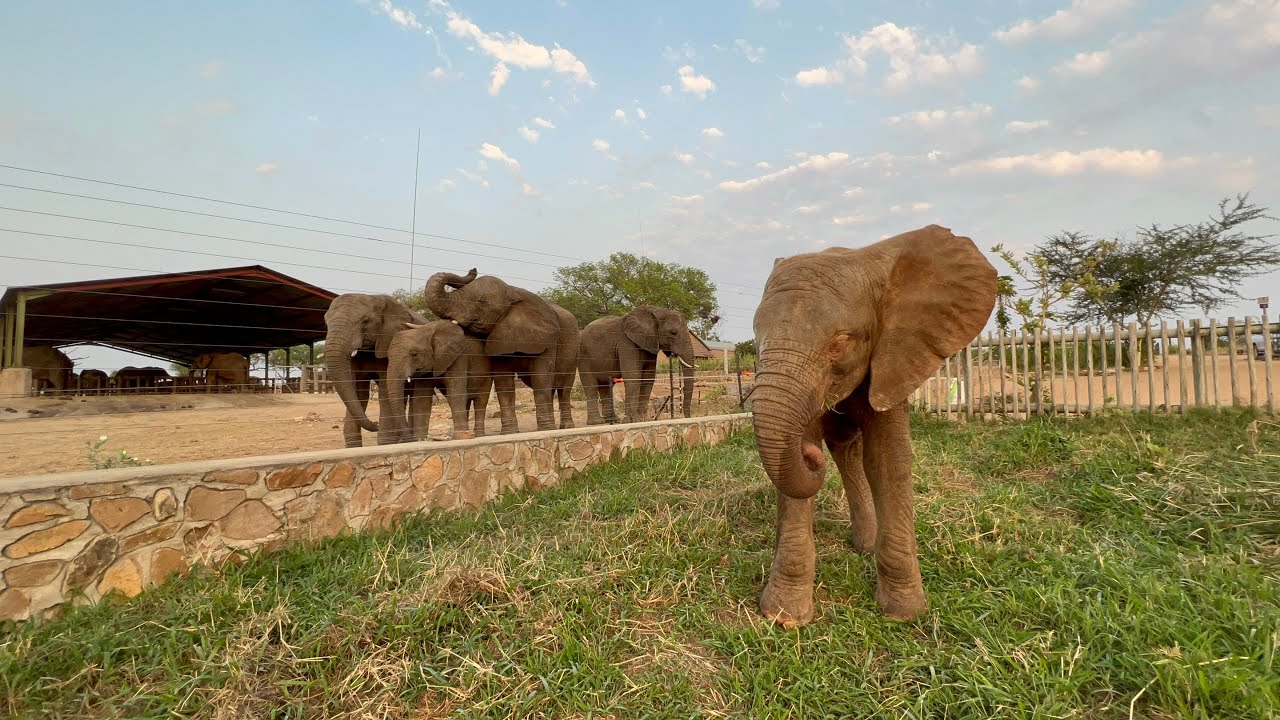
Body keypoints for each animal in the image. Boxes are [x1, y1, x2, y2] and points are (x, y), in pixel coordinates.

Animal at [323, 293, 429, 448]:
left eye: (365, 321)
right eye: (326, 323)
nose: (375, 423)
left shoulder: (388, 343)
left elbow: (384, 393)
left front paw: (386, 442)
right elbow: (358, 392)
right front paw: (354, 447)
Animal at [424, 268, 579, 434]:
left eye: (482, 302)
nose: (473, 269)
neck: (512, 291)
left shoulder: (548, 339)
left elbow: (541, 377)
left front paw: (545, 431)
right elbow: (503, 381)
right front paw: (510, 432)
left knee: (564, 388)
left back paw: (565, 427)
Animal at [748, 224, 996, 627]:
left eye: (839, 344)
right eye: (756, 342)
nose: (809, 455)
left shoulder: (896, 354)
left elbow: (886, 460)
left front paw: (903, 614)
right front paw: (784, 618)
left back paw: (866, 547)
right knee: (844, 446)